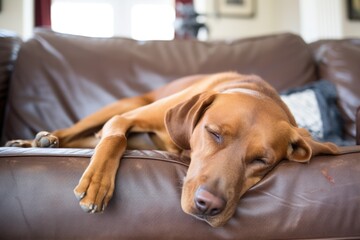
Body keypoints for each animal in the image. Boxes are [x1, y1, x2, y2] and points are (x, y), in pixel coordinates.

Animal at [5, 71, 358, 227]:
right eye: (214, 134)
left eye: (262, 160)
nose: (208, 206)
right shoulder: (125, 119)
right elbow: (116, 138)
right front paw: (96, 184)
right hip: (122, 105)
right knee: (77, 131)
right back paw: (40, 140)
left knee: (86, 138)